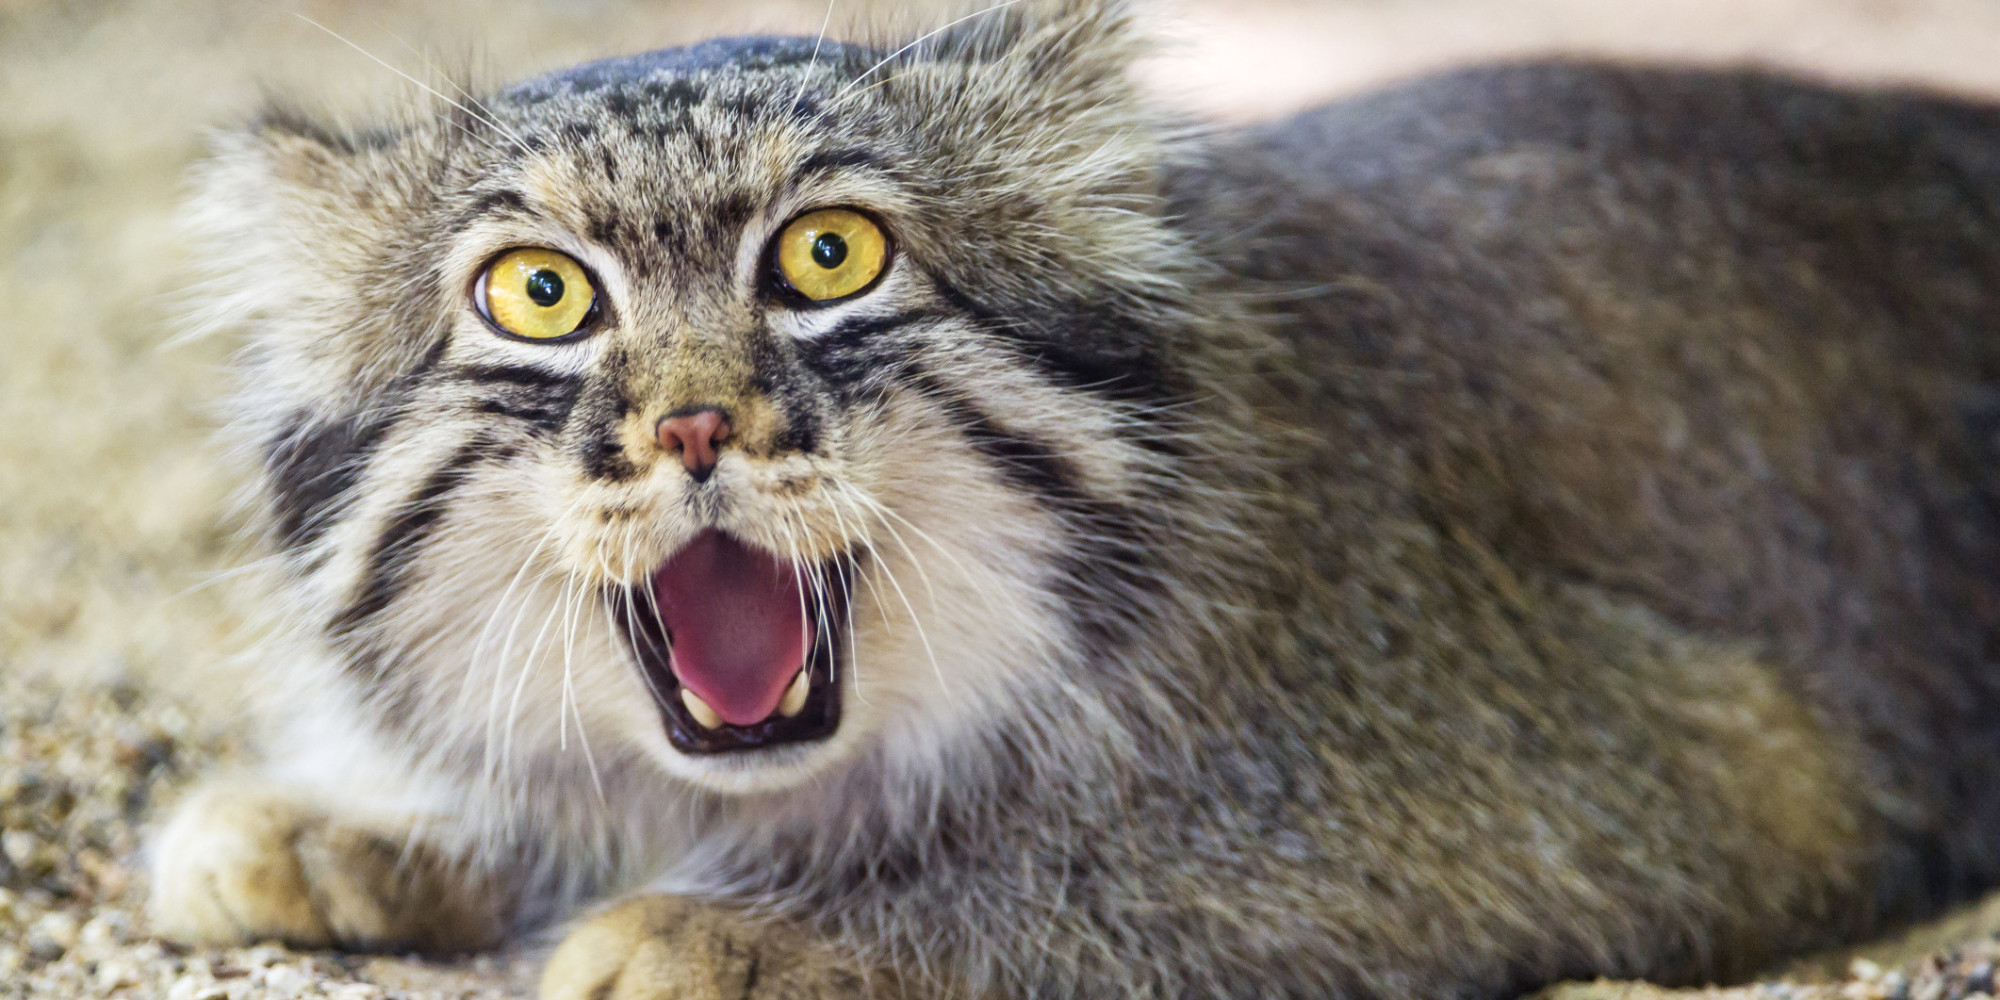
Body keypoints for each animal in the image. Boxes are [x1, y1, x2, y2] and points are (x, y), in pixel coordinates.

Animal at [148, 0, 2000, 996]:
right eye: (538, 295)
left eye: (831, 257)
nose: (695, 427)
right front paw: (358, 819)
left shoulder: (1674, 766)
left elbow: (1136, 870)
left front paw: (733, 930)